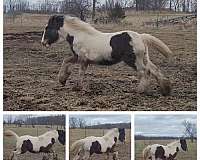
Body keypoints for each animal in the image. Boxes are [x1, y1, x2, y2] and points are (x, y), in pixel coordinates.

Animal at [41, 15, 173, 95]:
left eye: (48, 28)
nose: (43, 42)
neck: (79, 35)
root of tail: (141, 37)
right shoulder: (78, 58)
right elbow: (66, 61)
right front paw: (63, 80)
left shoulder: (82, 59)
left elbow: (80, 72)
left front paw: (77, 87)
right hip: (144, 58)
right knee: (154, 70)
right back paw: (165, 89)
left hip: (134, 60)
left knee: (145, 72)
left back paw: (140, 90)